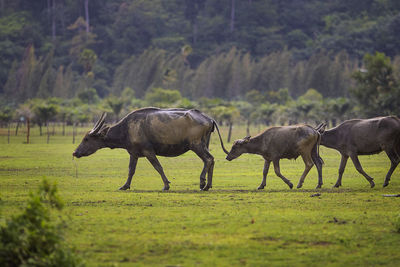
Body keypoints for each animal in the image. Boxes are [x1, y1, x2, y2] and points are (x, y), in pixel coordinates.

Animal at [72, 108, 228, 192]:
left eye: (86, 139)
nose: (75, 152)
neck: (127, 128)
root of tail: (209, 118)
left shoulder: (148, 151)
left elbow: (158, 167)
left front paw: (166, 185)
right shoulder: (133, 153)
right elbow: (131, 170)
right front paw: (125, 186)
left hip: (196, 145)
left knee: (208, 159)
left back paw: (202, 183)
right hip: (204, 144)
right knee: (211, 159)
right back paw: (208, 185)